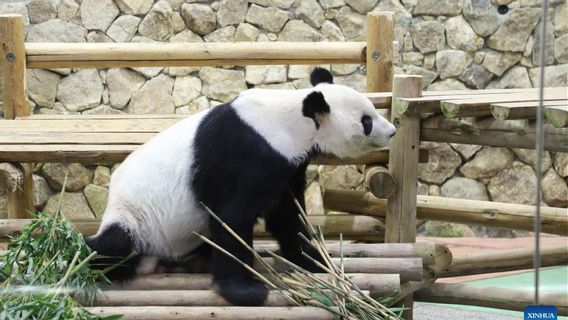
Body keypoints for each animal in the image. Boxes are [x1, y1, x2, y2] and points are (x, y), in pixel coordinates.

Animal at [87, 67, 394, 304]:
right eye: (366, 121)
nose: (392, 131)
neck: (291, 121)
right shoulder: (249, 154)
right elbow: (232, 218)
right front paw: (245, 291)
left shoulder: (286, 165)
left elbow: (287, 216)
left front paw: (314, 260)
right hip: (135, 217)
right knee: (112, 246)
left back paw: (196, 261)